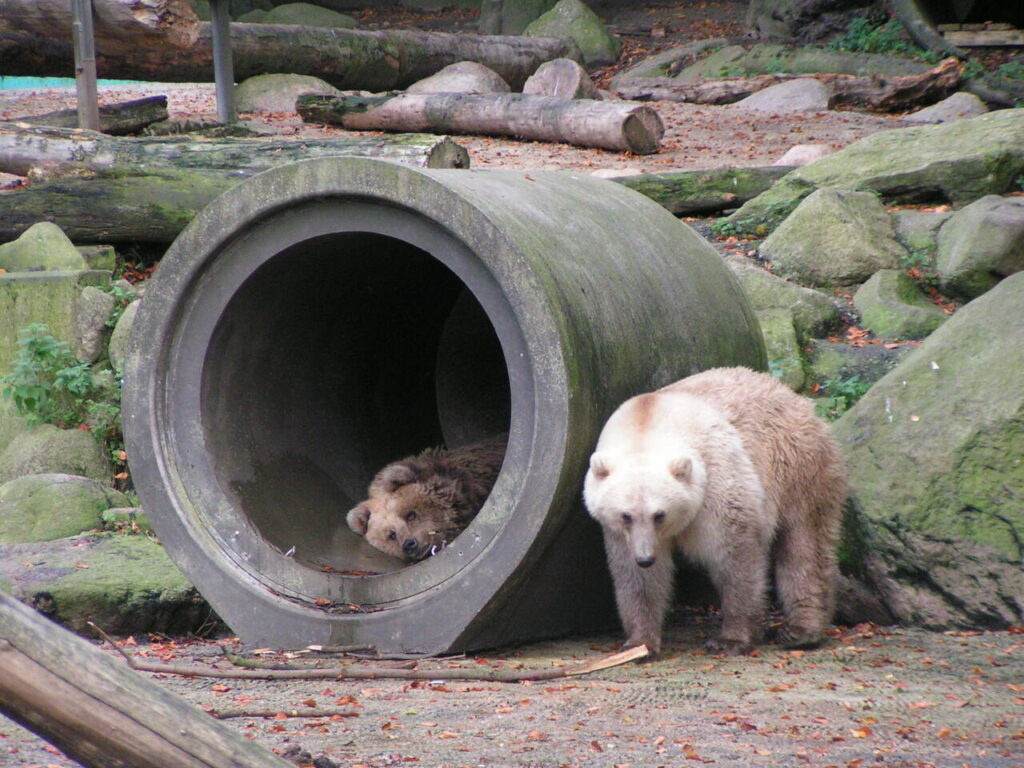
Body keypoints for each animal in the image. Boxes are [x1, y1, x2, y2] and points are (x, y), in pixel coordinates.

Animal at [583, 366, 846, 657]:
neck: (647, 424)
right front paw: (640, 644)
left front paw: (731, 639)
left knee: (804, 544)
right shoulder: (619, 533)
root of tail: (793, 395)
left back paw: (801, 631)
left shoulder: (716, 479)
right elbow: (638, 578)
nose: (645, 558)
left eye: (659, 515)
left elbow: (734, 556)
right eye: (625, 516)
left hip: (796, 465)